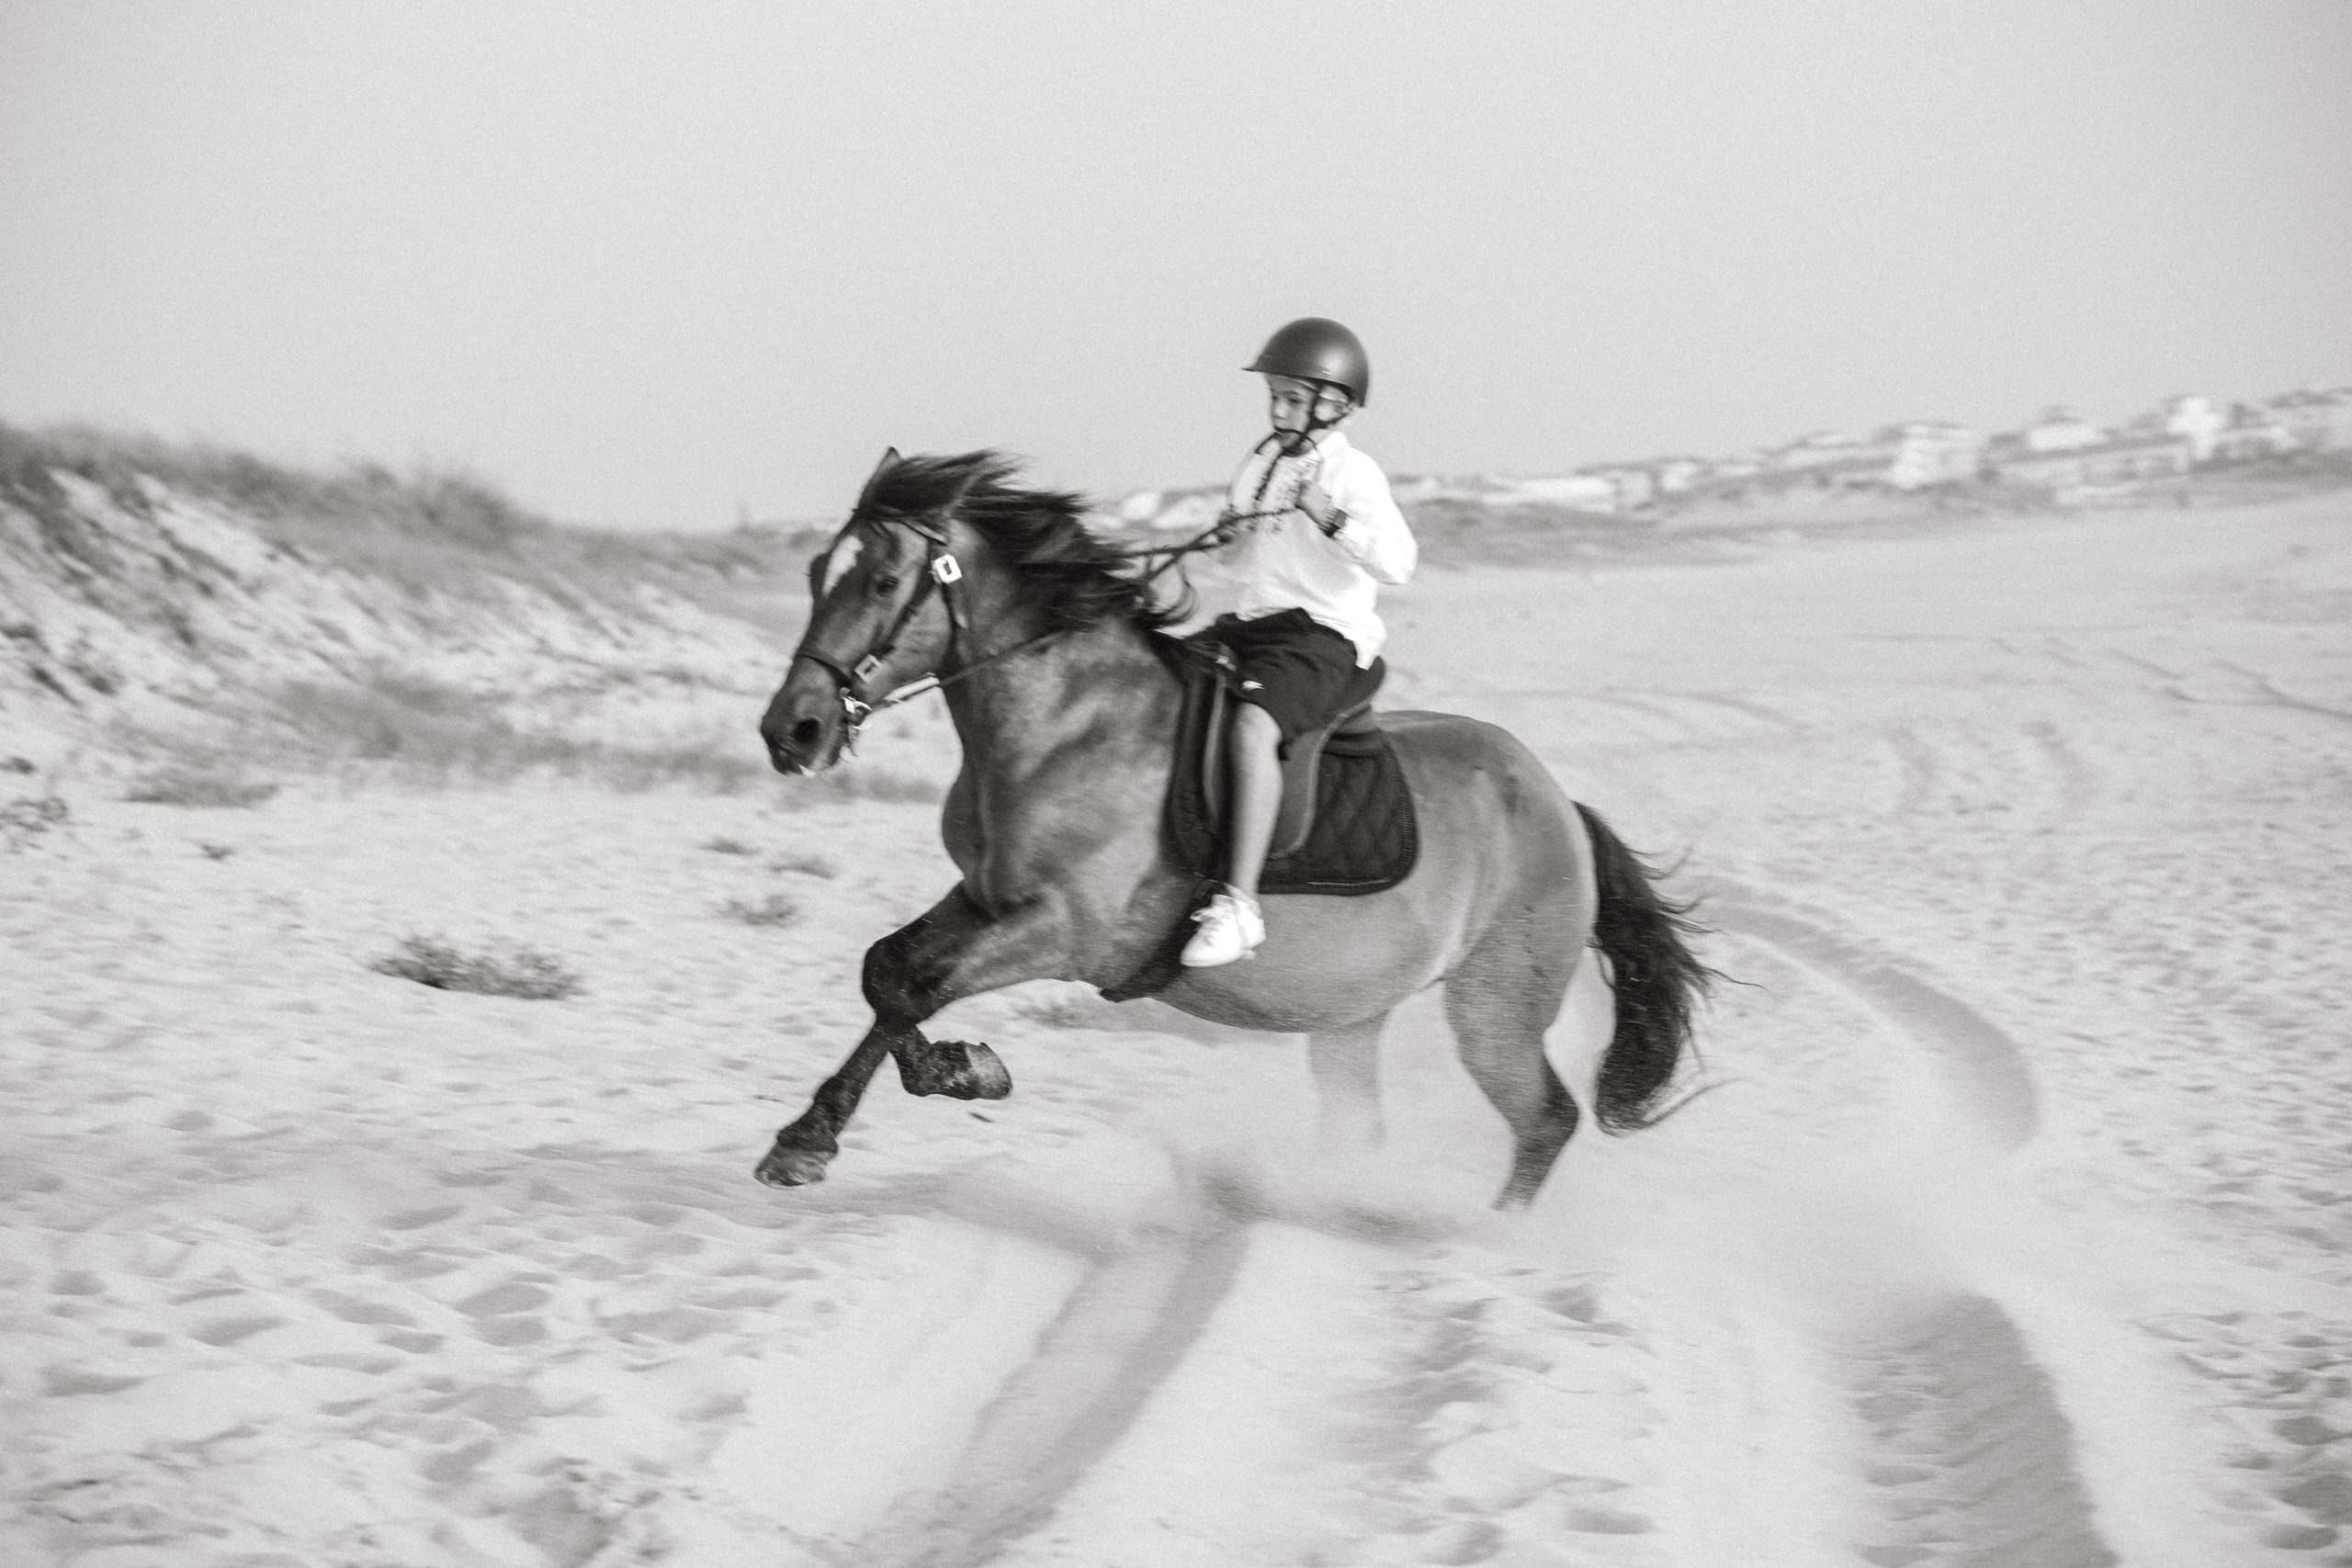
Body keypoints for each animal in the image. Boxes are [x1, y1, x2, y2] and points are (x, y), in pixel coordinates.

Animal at [755, 449, 1711, 1210]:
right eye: (816, 571)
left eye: (882, 581)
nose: (791, 731)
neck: (1068, 722)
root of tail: (1561, 808)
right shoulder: (985, 896)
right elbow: (889, 971)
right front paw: (836, 1125)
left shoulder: (1068, 932)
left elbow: (918, 986)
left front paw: (936, 1081)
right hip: (1352, 1013)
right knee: (1372, 1129)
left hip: (1495, 1009)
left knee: (1546, 1117)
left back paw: (1487, 1231)